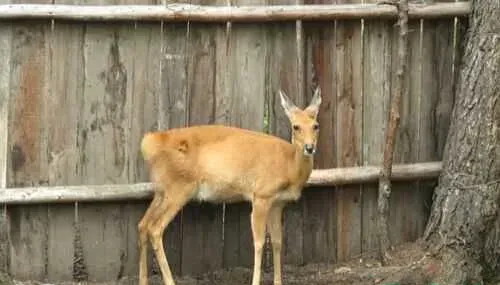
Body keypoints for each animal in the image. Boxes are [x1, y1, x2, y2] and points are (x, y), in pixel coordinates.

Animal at [139, 87, 322, 284]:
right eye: (296, 126)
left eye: (316, 125)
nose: (309, 147)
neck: (288, 166)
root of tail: (149, 144)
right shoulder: (261, 195)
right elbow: (259, 243)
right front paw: (255, 281)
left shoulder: (278, 204)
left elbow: (277, 242)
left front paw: (278, 281)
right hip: (178, 188)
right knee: (155, 229)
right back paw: (170, 280)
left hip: (161, 190)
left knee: (143, 225)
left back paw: (143, 280)